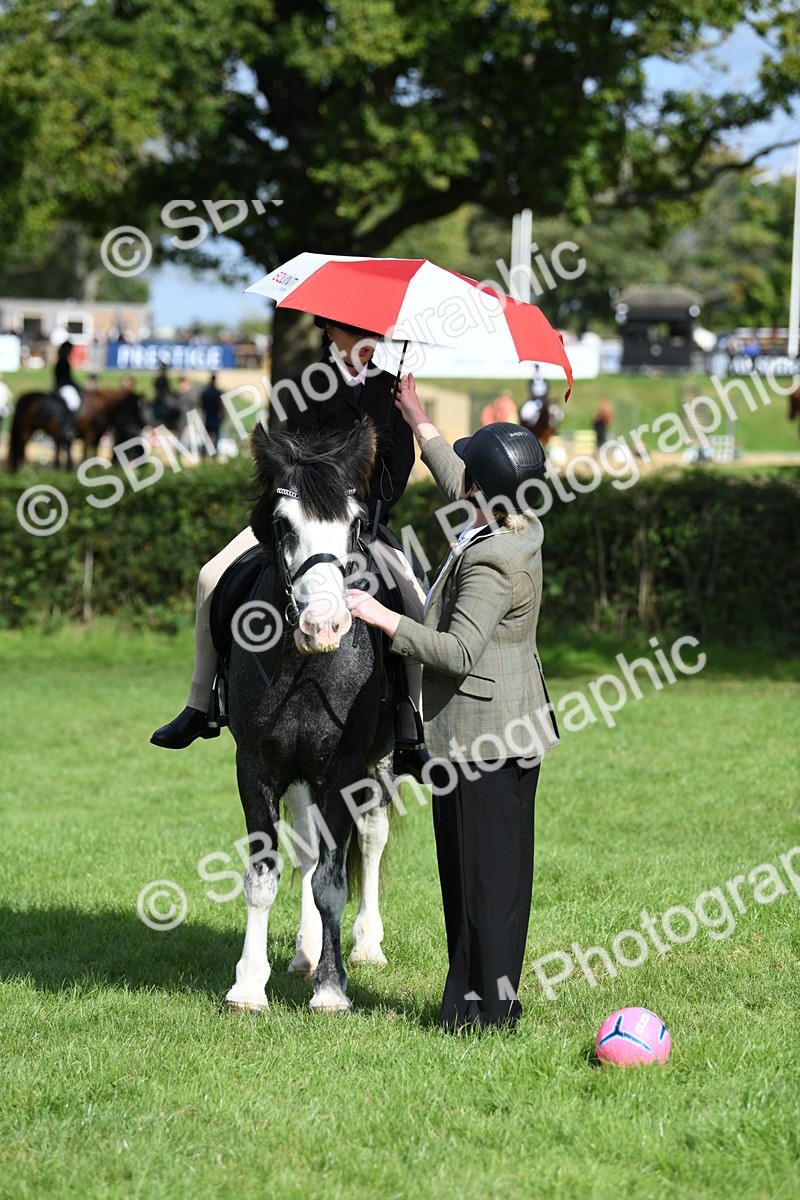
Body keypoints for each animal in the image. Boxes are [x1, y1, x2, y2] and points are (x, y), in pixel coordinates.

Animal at [7, 387, 146, 472]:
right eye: (139, 406)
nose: (143, 424)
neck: (100, 406)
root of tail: (25, 397)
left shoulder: (94, 436)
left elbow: (89, 452)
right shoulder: (90, 435)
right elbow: (88, 453)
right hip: (25, 431)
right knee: (20, 448)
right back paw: (23, 470)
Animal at [224, 417, 403, 1014]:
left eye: (356, 524)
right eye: (282, 524)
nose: (323, 626)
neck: (307, 668)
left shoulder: (344, 769)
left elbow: (332, 881)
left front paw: (331, 988)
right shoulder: (256, 766)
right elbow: (265, 874)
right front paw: (248, 985)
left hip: (377, 766)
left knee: (369, 840)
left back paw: (366, 944)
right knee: (306, 846)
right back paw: (303, 953)